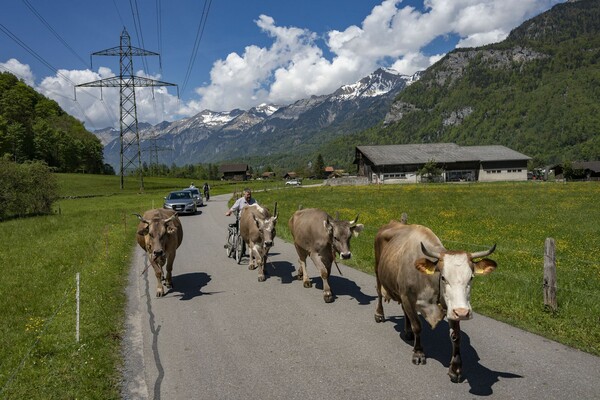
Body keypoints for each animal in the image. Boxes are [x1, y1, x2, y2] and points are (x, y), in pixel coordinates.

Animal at [376, 220, 496, 382]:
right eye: (443, 277)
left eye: (471, 278)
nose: (463, 313)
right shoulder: (407, 296)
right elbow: (417, 326)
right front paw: (418, 353)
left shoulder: (450, 307)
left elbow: (456, 336)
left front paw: (455, 369)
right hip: (378, 271)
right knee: (379, 293)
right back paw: (379, 314)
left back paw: (407, 332)